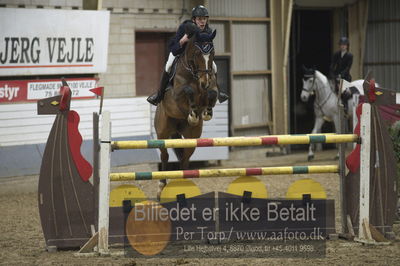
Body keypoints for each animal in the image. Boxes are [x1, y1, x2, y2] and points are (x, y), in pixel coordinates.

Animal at [155, 30, 219, 198]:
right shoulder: (177, 94)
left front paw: (206, 113)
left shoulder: (211, 89)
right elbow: (188, 90)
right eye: (197, 54)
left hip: (192, 137)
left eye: (212, 54)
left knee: (184, 159)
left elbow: (212, 94)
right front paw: (193, 114)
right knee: (165, 156)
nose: (205, 82)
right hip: (162, 133)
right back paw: (160, 187)